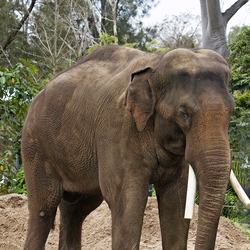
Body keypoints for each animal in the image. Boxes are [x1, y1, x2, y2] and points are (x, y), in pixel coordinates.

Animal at [21, 45, 234, 250]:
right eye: (183, 114)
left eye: (231, 111)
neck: (156, 63)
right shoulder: (118, 129)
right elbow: (127, 200)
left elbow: (175, 200)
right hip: (35, 147)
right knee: (44, 208)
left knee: (76, 209)